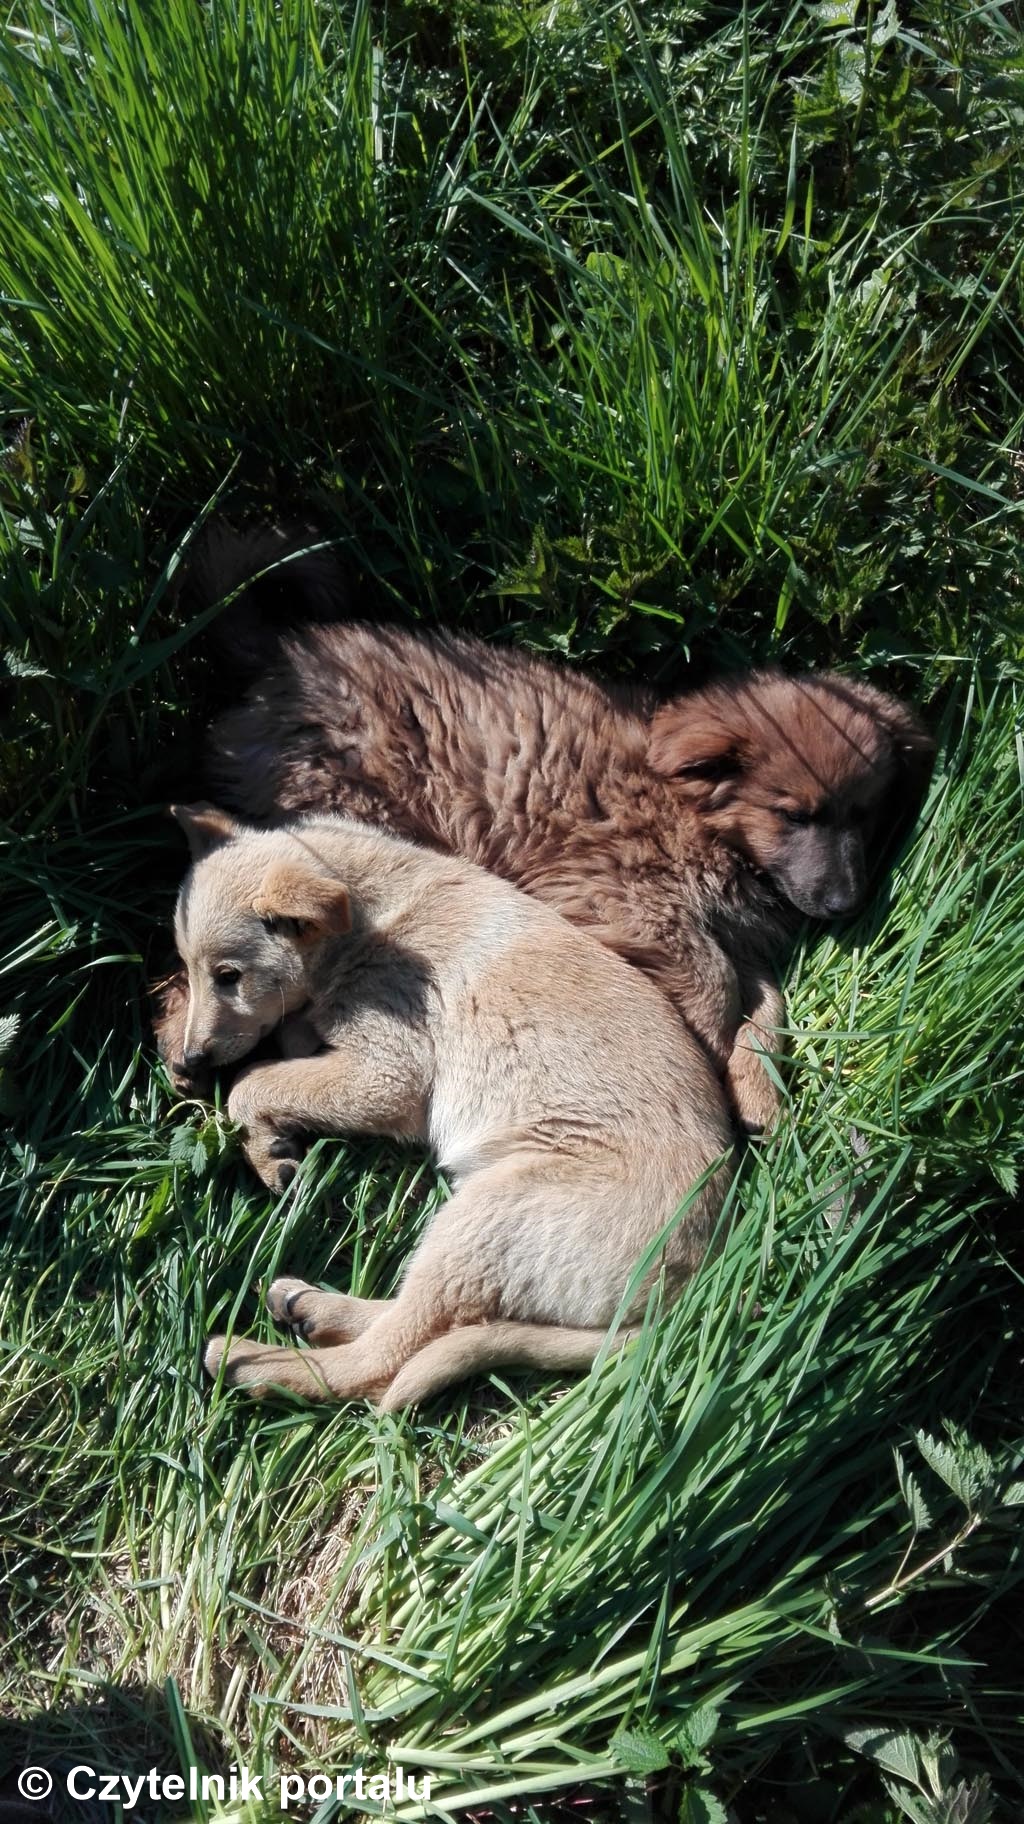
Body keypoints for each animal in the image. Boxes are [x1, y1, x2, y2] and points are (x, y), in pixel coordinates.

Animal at [156, 532, 930, 1123]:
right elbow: (716, 986)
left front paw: (757, 1084)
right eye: (794, 814)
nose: (845, 905)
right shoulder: (619, 899)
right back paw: (190, 1044)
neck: (692, 814)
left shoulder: (726, 931)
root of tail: (283, 653)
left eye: (867, 814)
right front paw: (711, 1055)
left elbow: (767, 1002)